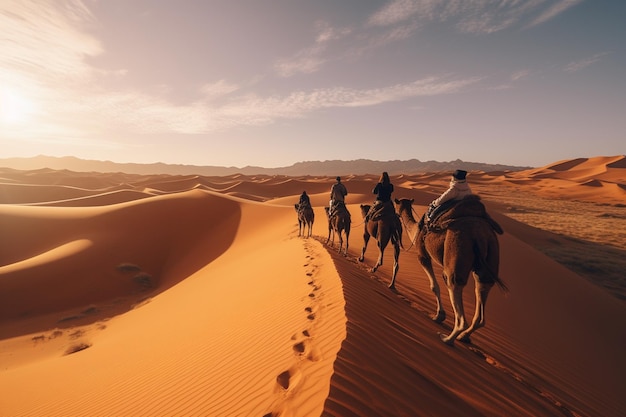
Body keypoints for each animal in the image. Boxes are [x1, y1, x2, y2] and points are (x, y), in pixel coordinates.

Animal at [394, 195, 508, 344]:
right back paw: (464, 336)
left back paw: (447, 338)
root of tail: (481, 236)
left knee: (452, 282)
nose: (395, 213)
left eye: (396, 204)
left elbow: (434, 286)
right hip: (491, 253)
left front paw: (439, 316)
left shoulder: (422, 254)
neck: (415, 231)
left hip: (457, 249)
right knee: (483, 287)